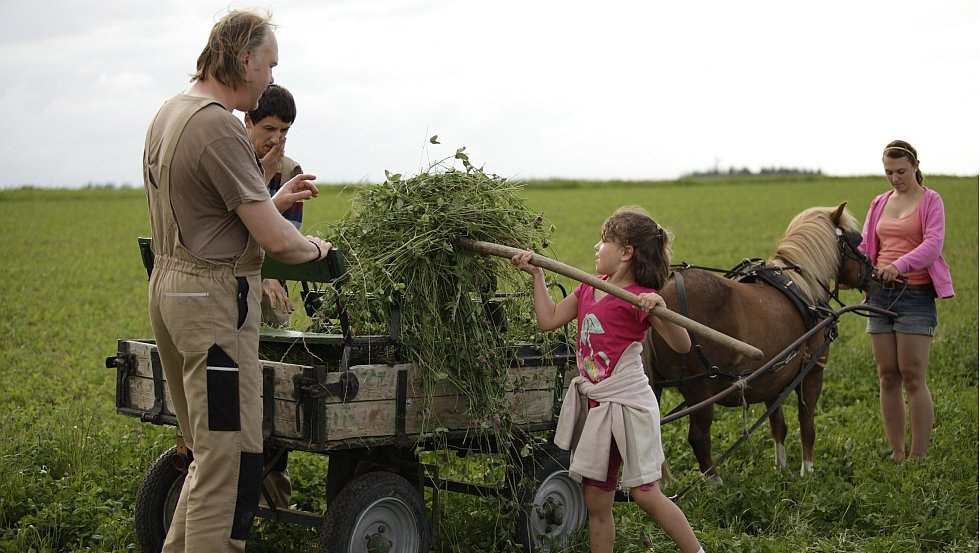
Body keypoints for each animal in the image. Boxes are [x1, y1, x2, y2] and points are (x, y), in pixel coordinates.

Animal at [644, 203, 880, 484]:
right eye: (857, 240)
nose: (874, 273)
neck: (804, 289)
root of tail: (656, 296)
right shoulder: (813, 370)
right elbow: (807, 423)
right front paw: (807, 471)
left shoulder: (773, 377)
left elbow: (778, 424)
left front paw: (781, 468)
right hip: (698, 387)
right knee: (699, 438)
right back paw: (715, 483)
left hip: (654, 384)